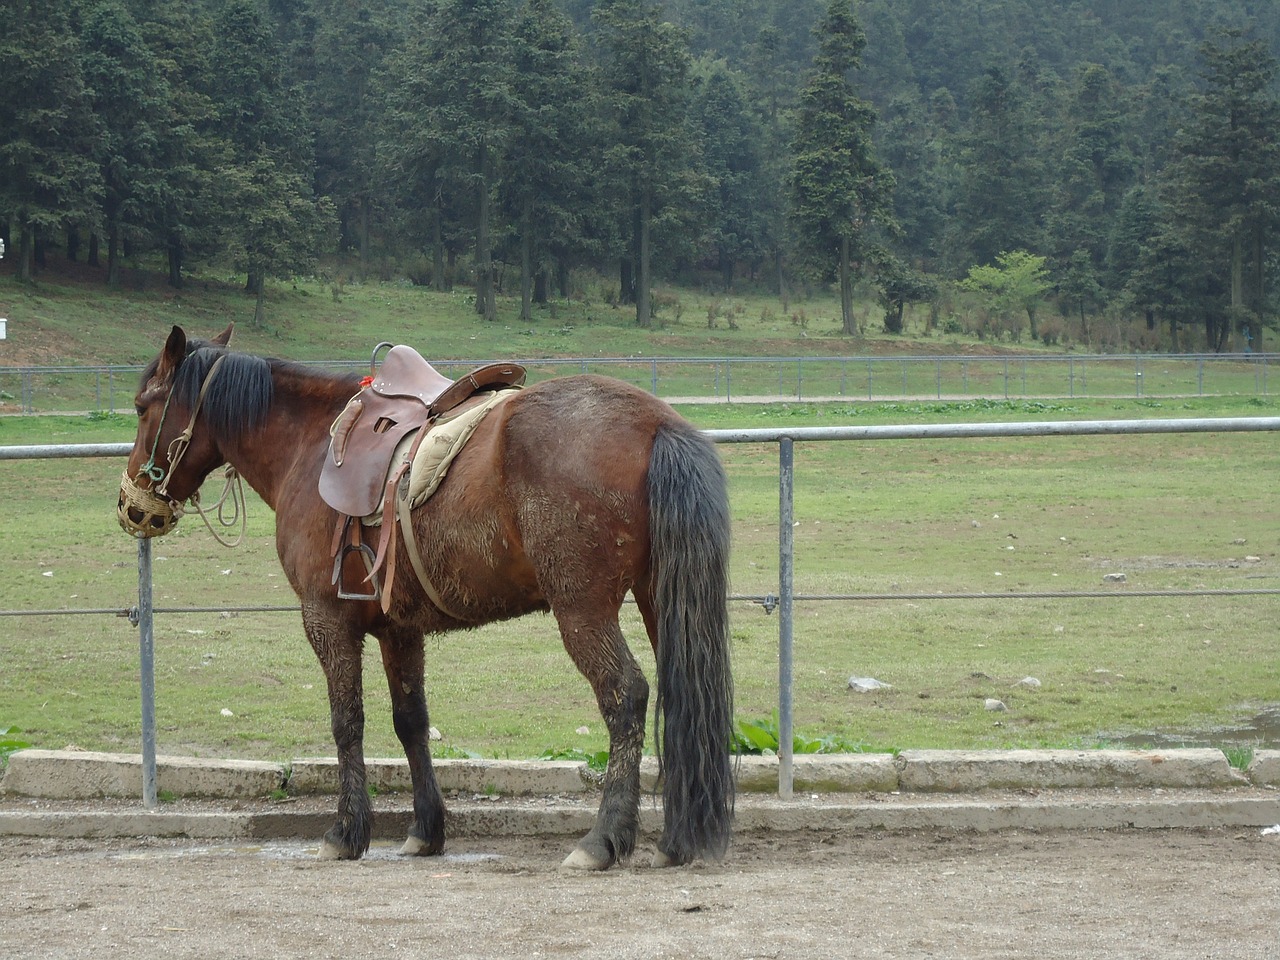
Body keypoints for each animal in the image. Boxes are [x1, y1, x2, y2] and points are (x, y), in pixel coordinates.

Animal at [120, 325, 742, 870]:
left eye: (143, 406)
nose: (132, 506)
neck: (310, 444)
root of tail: (657, 424)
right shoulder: (400, 630)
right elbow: (410, 721)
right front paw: (426, 829)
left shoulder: (326, 620)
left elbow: (347, 721)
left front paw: (347, 832)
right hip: (662, 602)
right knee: (682, 694)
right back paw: (676, 840)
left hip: (582, 609)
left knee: (625, 696)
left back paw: (603, 838)